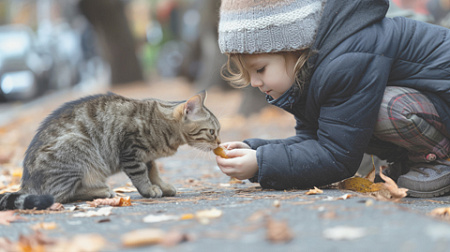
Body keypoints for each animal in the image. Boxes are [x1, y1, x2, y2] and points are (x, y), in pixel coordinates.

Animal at [0, 90, 221, 211]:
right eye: (212, 132)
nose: (219, 142)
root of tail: (26, 183)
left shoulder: (147, 156)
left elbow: (154, 172)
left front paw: (163, 186)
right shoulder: (131, 151)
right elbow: (141, 175)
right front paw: (149, 190)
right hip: (80, 148)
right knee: (61, 195)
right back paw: (101, 190)